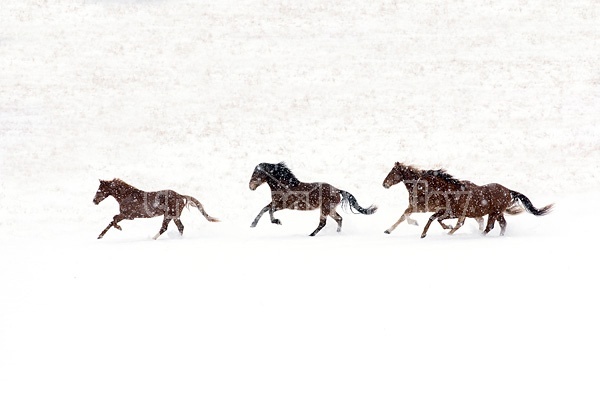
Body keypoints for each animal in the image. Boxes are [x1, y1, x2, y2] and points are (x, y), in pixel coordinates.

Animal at [247, 162, 376, 236]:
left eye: (256, 173)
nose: (250, 187)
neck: (284, 185)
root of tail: (337, 190)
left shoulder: (283, 204)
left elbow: (269, 211)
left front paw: (277, 221)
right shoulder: (275, 202)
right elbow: (264, 209)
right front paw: (252, 225)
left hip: (325, 209)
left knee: (323, 223)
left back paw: (311, 235)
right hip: (330, 210)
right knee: (339, 219)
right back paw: (337, 233)